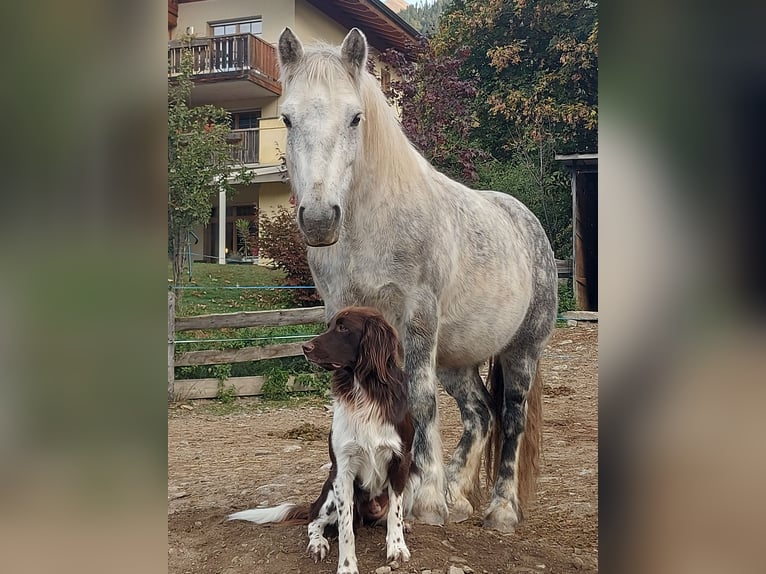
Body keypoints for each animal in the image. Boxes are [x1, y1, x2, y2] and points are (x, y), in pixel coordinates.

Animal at [230, 308, 414, 574]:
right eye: (329, 325)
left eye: (343, 328)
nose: (304, 347)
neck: (365, 392)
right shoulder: (342, 470)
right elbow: (346, 529)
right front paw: (347, 566)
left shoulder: (401, 460)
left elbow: (395, 514)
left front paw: (397, 546)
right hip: (329, 491)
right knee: (314, 520)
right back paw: (318, 544)